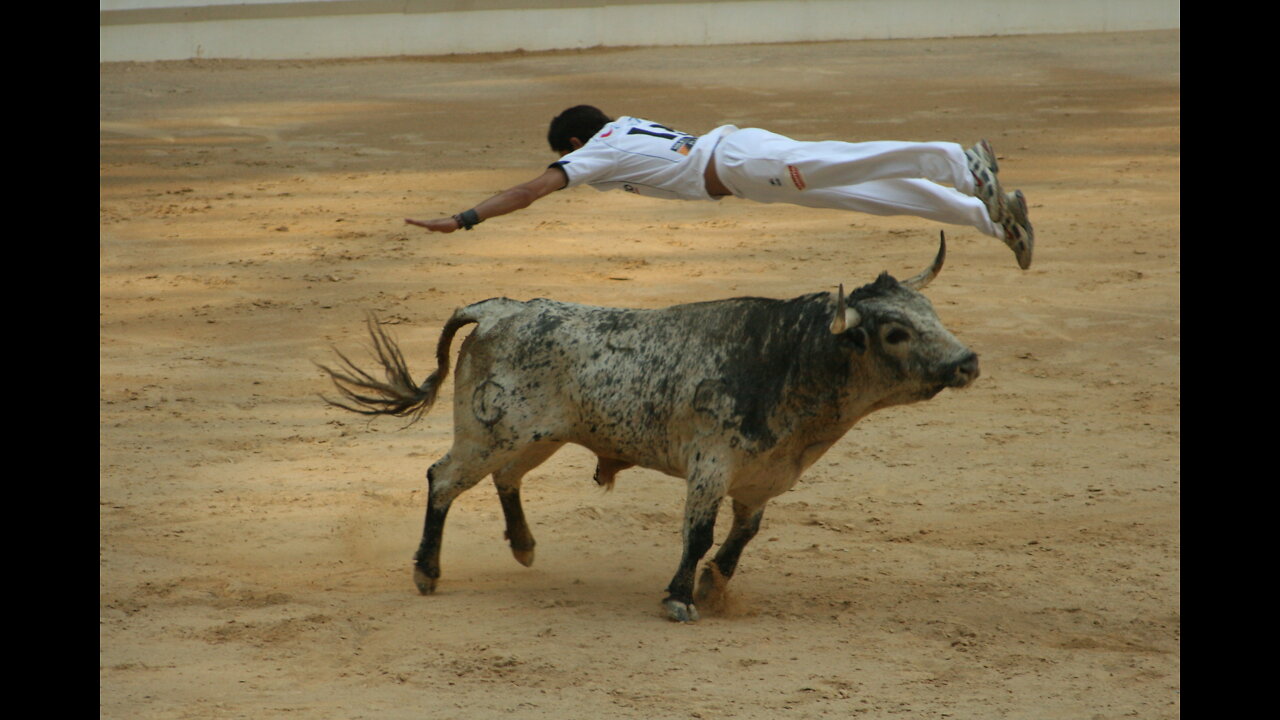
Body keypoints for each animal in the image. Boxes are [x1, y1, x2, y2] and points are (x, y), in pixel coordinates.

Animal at [322, 233, 977, 620]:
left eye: (930, 312)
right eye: (896, 332)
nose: (967, 361)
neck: (787, 360)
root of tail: (497, 309)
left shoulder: (762, 479)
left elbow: (742, 537)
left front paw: (714, 588)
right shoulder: (710, 468)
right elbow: (699, 534)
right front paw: (680, 597)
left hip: (539, 437)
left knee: (505, 478)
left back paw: (525, 547)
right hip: (488, 435)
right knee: (442, 479)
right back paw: (427, 572)